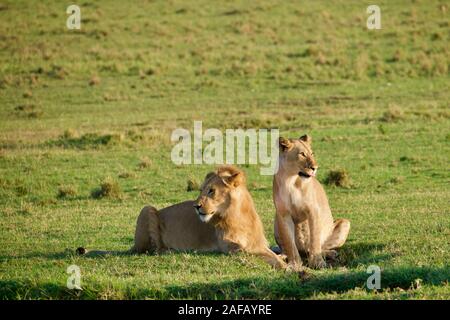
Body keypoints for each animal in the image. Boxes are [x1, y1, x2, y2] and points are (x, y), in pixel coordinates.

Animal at [77, 165, 284, 270]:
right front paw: (286, 267)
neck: (237, 215)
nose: (196, 206)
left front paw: (286, 261)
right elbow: (263, 256)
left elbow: (272, 253)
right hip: (147, 209)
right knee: (153, 250)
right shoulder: (229, 247)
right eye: (201, 190)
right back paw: (173, 251)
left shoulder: (258, 243)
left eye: (211, 191)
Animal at [270, 134, 352, 268]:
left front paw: (318, 263)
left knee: (319, 246)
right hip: (276, 223)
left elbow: (315, 239)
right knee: (287, 249)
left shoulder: (313, 211)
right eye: (302, 154)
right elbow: (289, 242)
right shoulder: (283, 214)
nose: (315, 168)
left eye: (312, 153)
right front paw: (294, 264)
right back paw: (282, 256)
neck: (291, 181)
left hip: (345, 223)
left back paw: (331, 254)